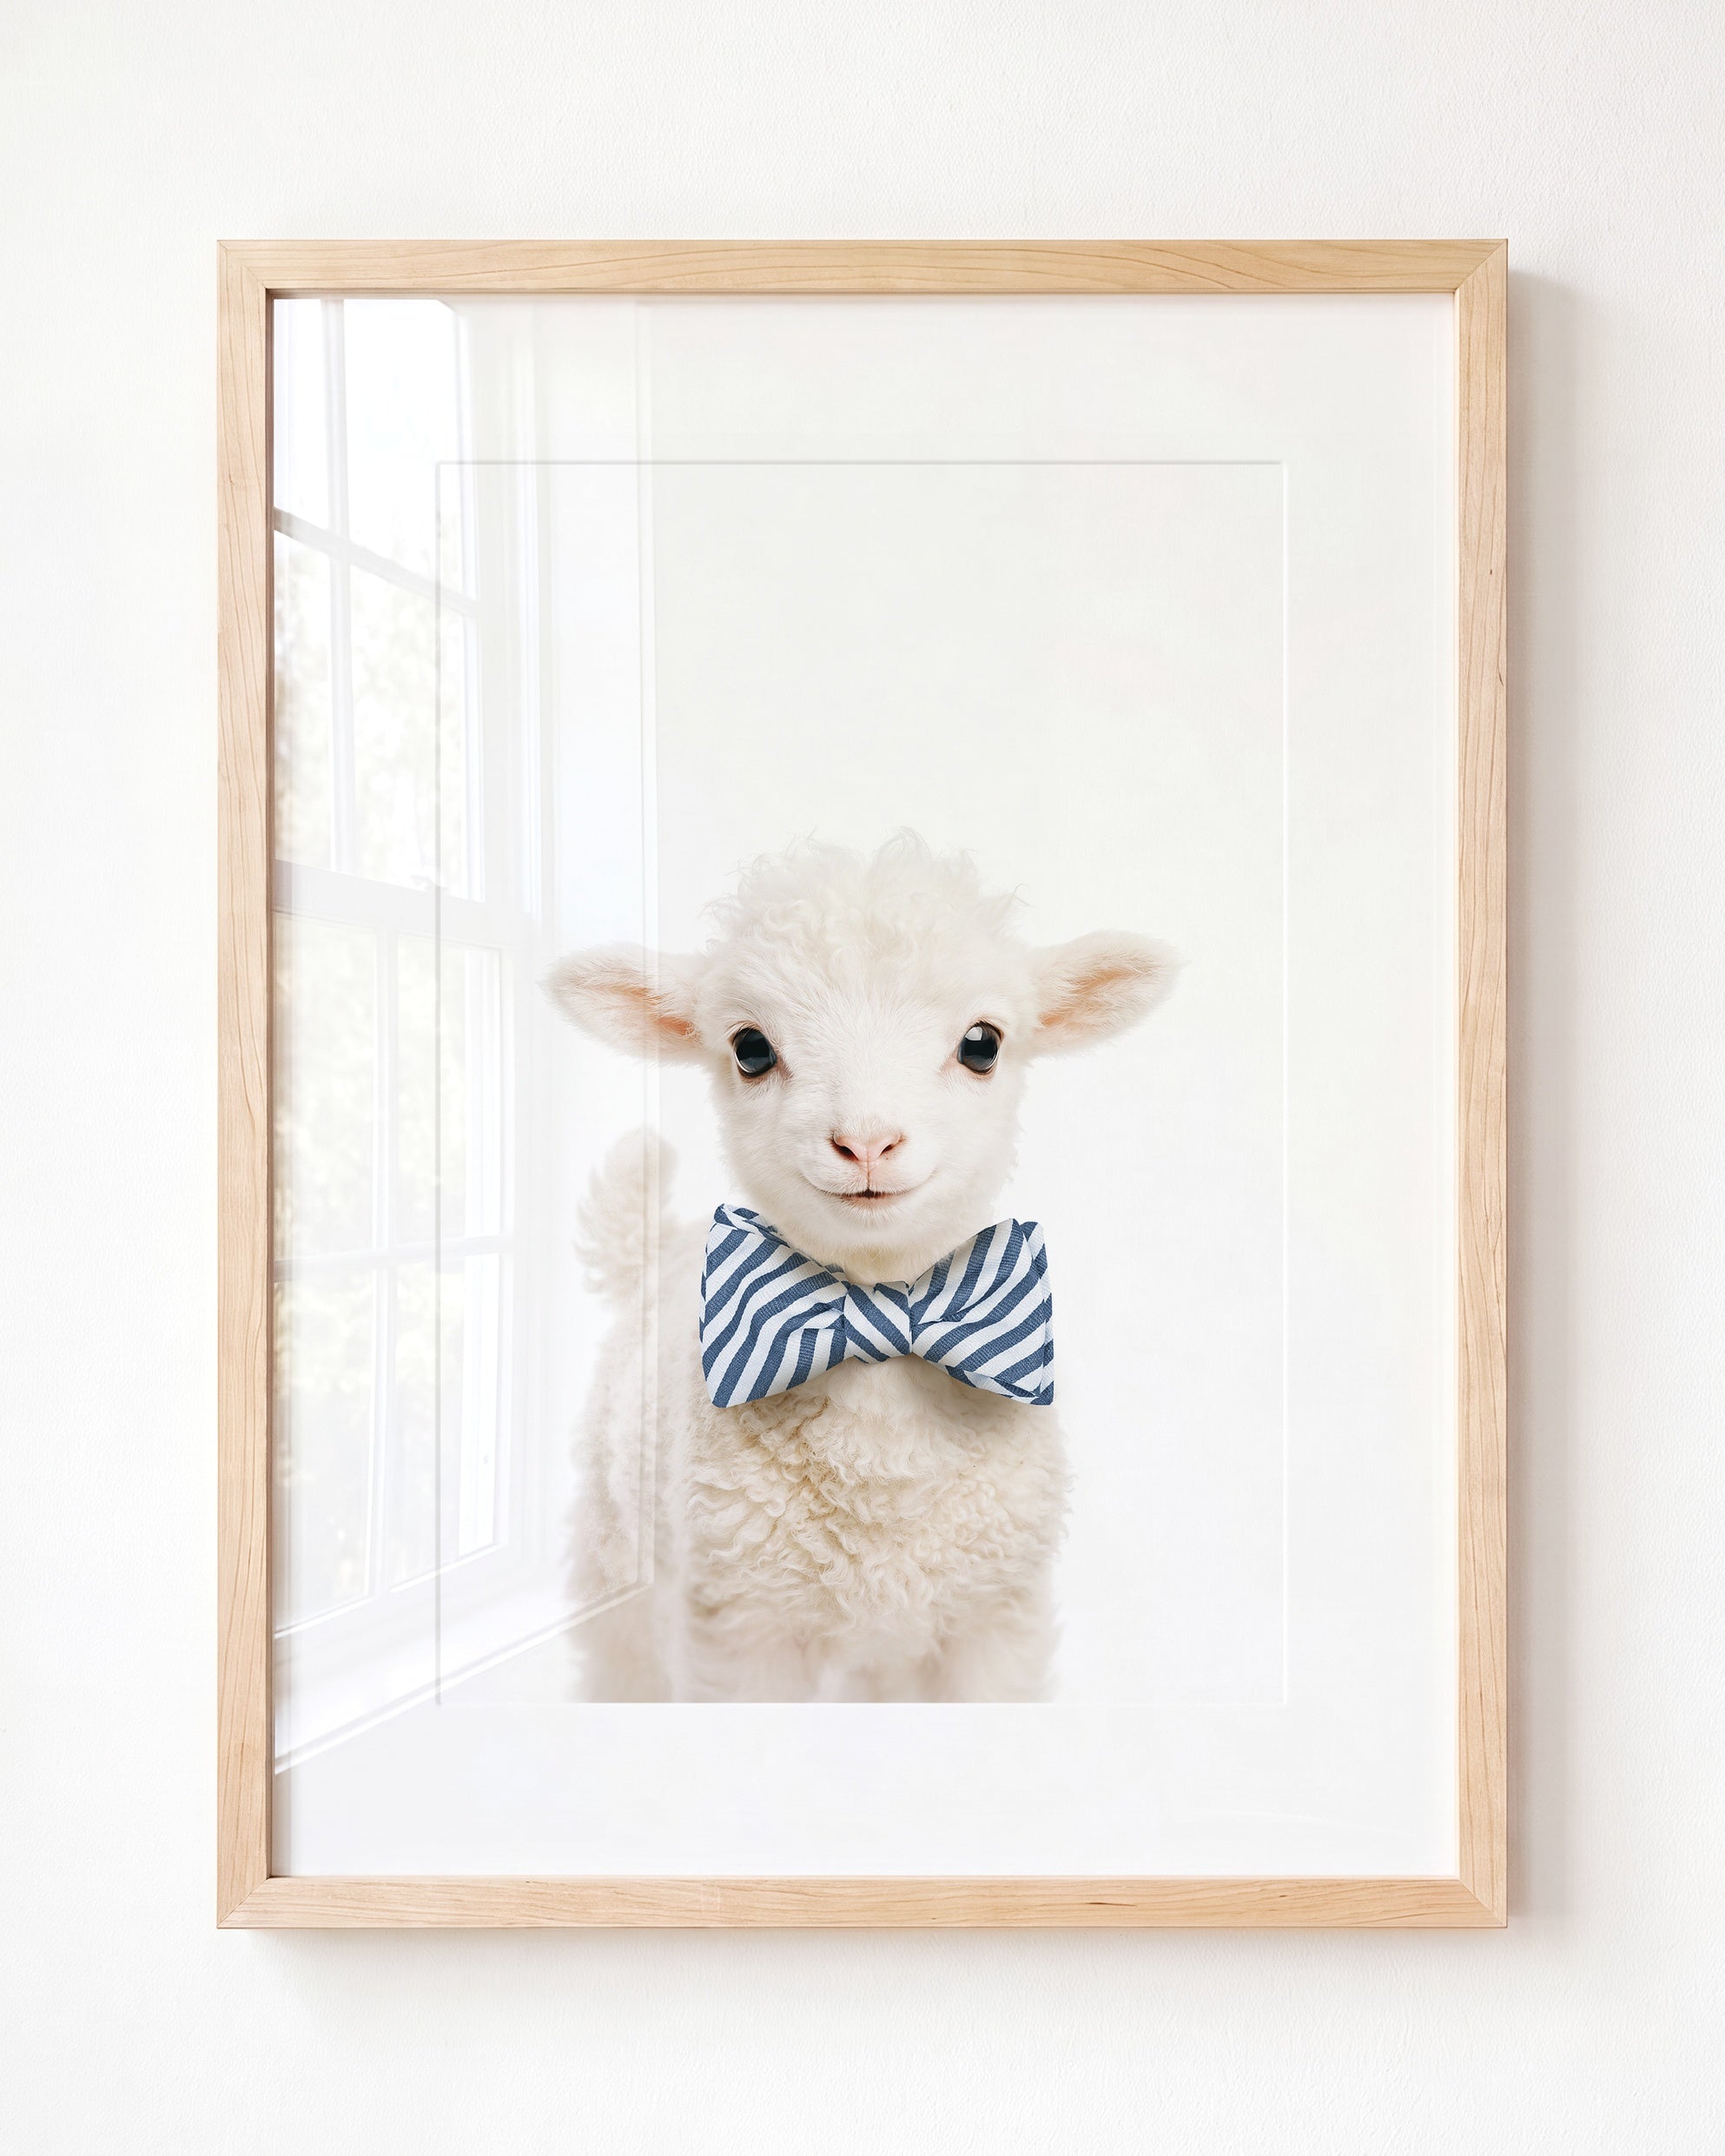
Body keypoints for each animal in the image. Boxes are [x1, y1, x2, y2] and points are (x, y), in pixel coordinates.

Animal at [544, 834, 1174, 1702]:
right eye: (750, 1049)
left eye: (983, 1044)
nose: (867, 1142)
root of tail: (656, 1250)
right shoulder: (741, 1627)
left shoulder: (994, 1619)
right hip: (619, 1565)